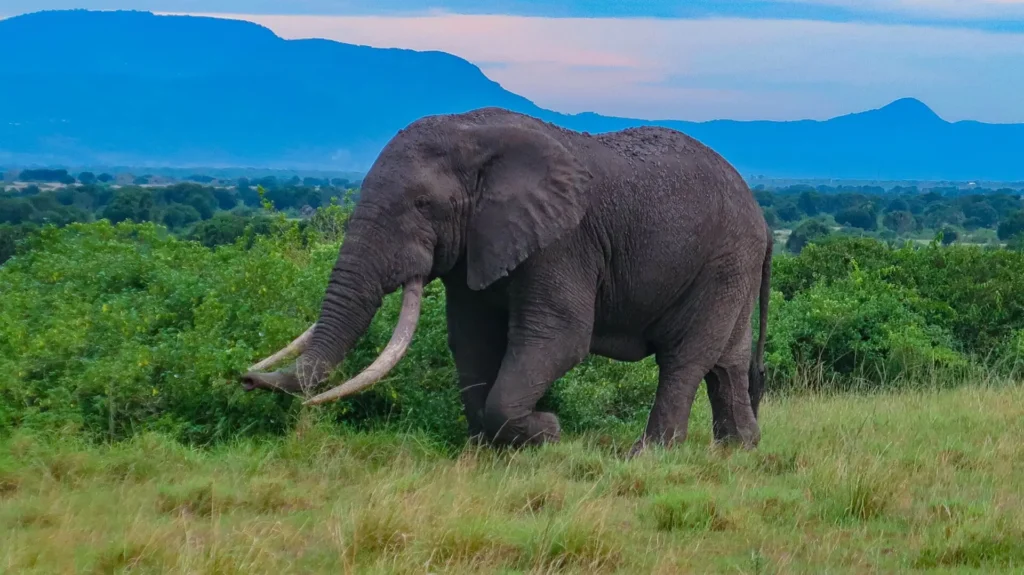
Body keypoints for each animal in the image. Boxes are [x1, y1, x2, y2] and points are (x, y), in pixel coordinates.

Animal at [241, 107, 772, 453]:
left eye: (422, 205)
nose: (245, 378)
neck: (474, 136)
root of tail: (762, 221)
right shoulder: (476, 245)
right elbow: (472, 339)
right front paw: (486, 452)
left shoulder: (562, 242)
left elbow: (557, 337)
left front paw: (548, 432)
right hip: (732, 265)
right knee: (726, 361)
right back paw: (738, 449)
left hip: (723, 259)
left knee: (684, 358)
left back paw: (649, 455)